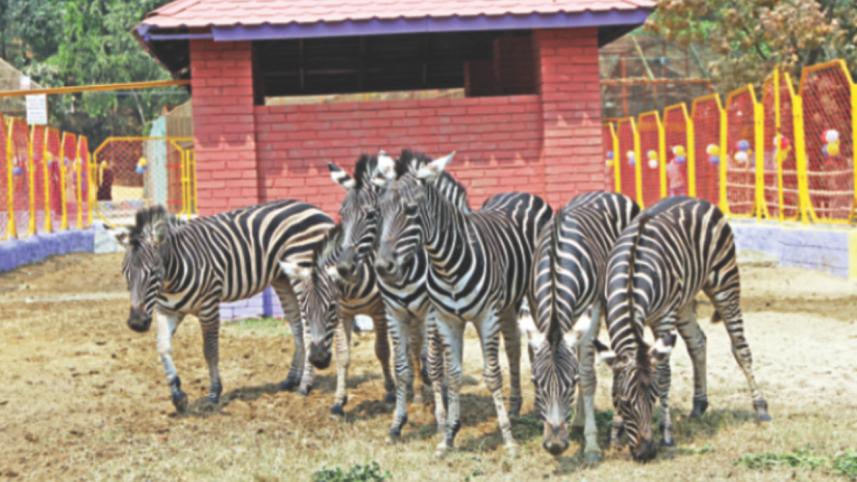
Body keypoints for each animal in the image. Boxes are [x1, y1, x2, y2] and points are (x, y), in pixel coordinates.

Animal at [112, 201, 333, 412]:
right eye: (125, 273)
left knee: (308, 329)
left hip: (302, 274)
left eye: (153, 272)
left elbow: (210, 351)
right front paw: (178, 395)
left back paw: (305, 385)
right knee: (297, 326)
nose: (136, 323)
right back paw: (291, 379)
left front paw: (214, 394)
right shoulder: (168, 311)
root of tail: (316, 209)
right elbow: (163, 348)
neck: (172, 276)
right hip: (282, 279)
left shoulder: (209, 306)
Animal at [278, 223, 395, 416]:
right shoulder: (343, 316)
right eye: (305, 311)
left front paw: (391, 391)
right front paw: (339, 401)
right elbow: (343, 356)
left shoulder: (380, 311)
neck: (353, 290)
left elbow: (382, 350)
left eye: (331, 307)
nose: (318, 359)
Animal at [372, 151, 552, 456]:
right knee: (514, 346)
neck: (447, 264)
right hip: (506, 303)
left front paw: (508, 440)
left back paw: (541, 412)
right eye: (380, 211)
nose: (384, 267)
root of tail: (522, 193)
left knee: (534, 345)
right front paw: (446, 435)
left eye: (411, 210)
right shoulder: (444, 318)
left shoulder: (483, 316)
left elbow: (491, 375)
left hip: (531, 294)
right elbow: (449, 374)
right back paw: (515, 407)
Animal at [518, 191, 639, 461]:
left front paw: (592, 445)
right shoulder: (538, 314)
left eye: (570, 383)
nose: (555, 446)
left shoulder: (590, 316)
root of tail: (605, 192)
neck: (557, 266)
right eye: (535, 382)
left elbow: (587, 375)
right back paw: (578, 419)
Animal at [600, 196, 771, 462]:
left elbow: (663, 375)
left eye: (653, 399)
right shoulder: (611, 316)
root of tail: (696, 199)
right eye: (625, 403)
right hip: (684, 303)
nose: (646, 453)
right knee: (698, 342)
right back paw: (699, 404)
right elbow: (617, 376)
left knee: (741, 348)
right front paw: (616, 433)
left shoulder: (664, 318)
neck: (630, 280)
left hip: (725, 282)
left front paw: (666, 433)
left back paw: (760, 407)